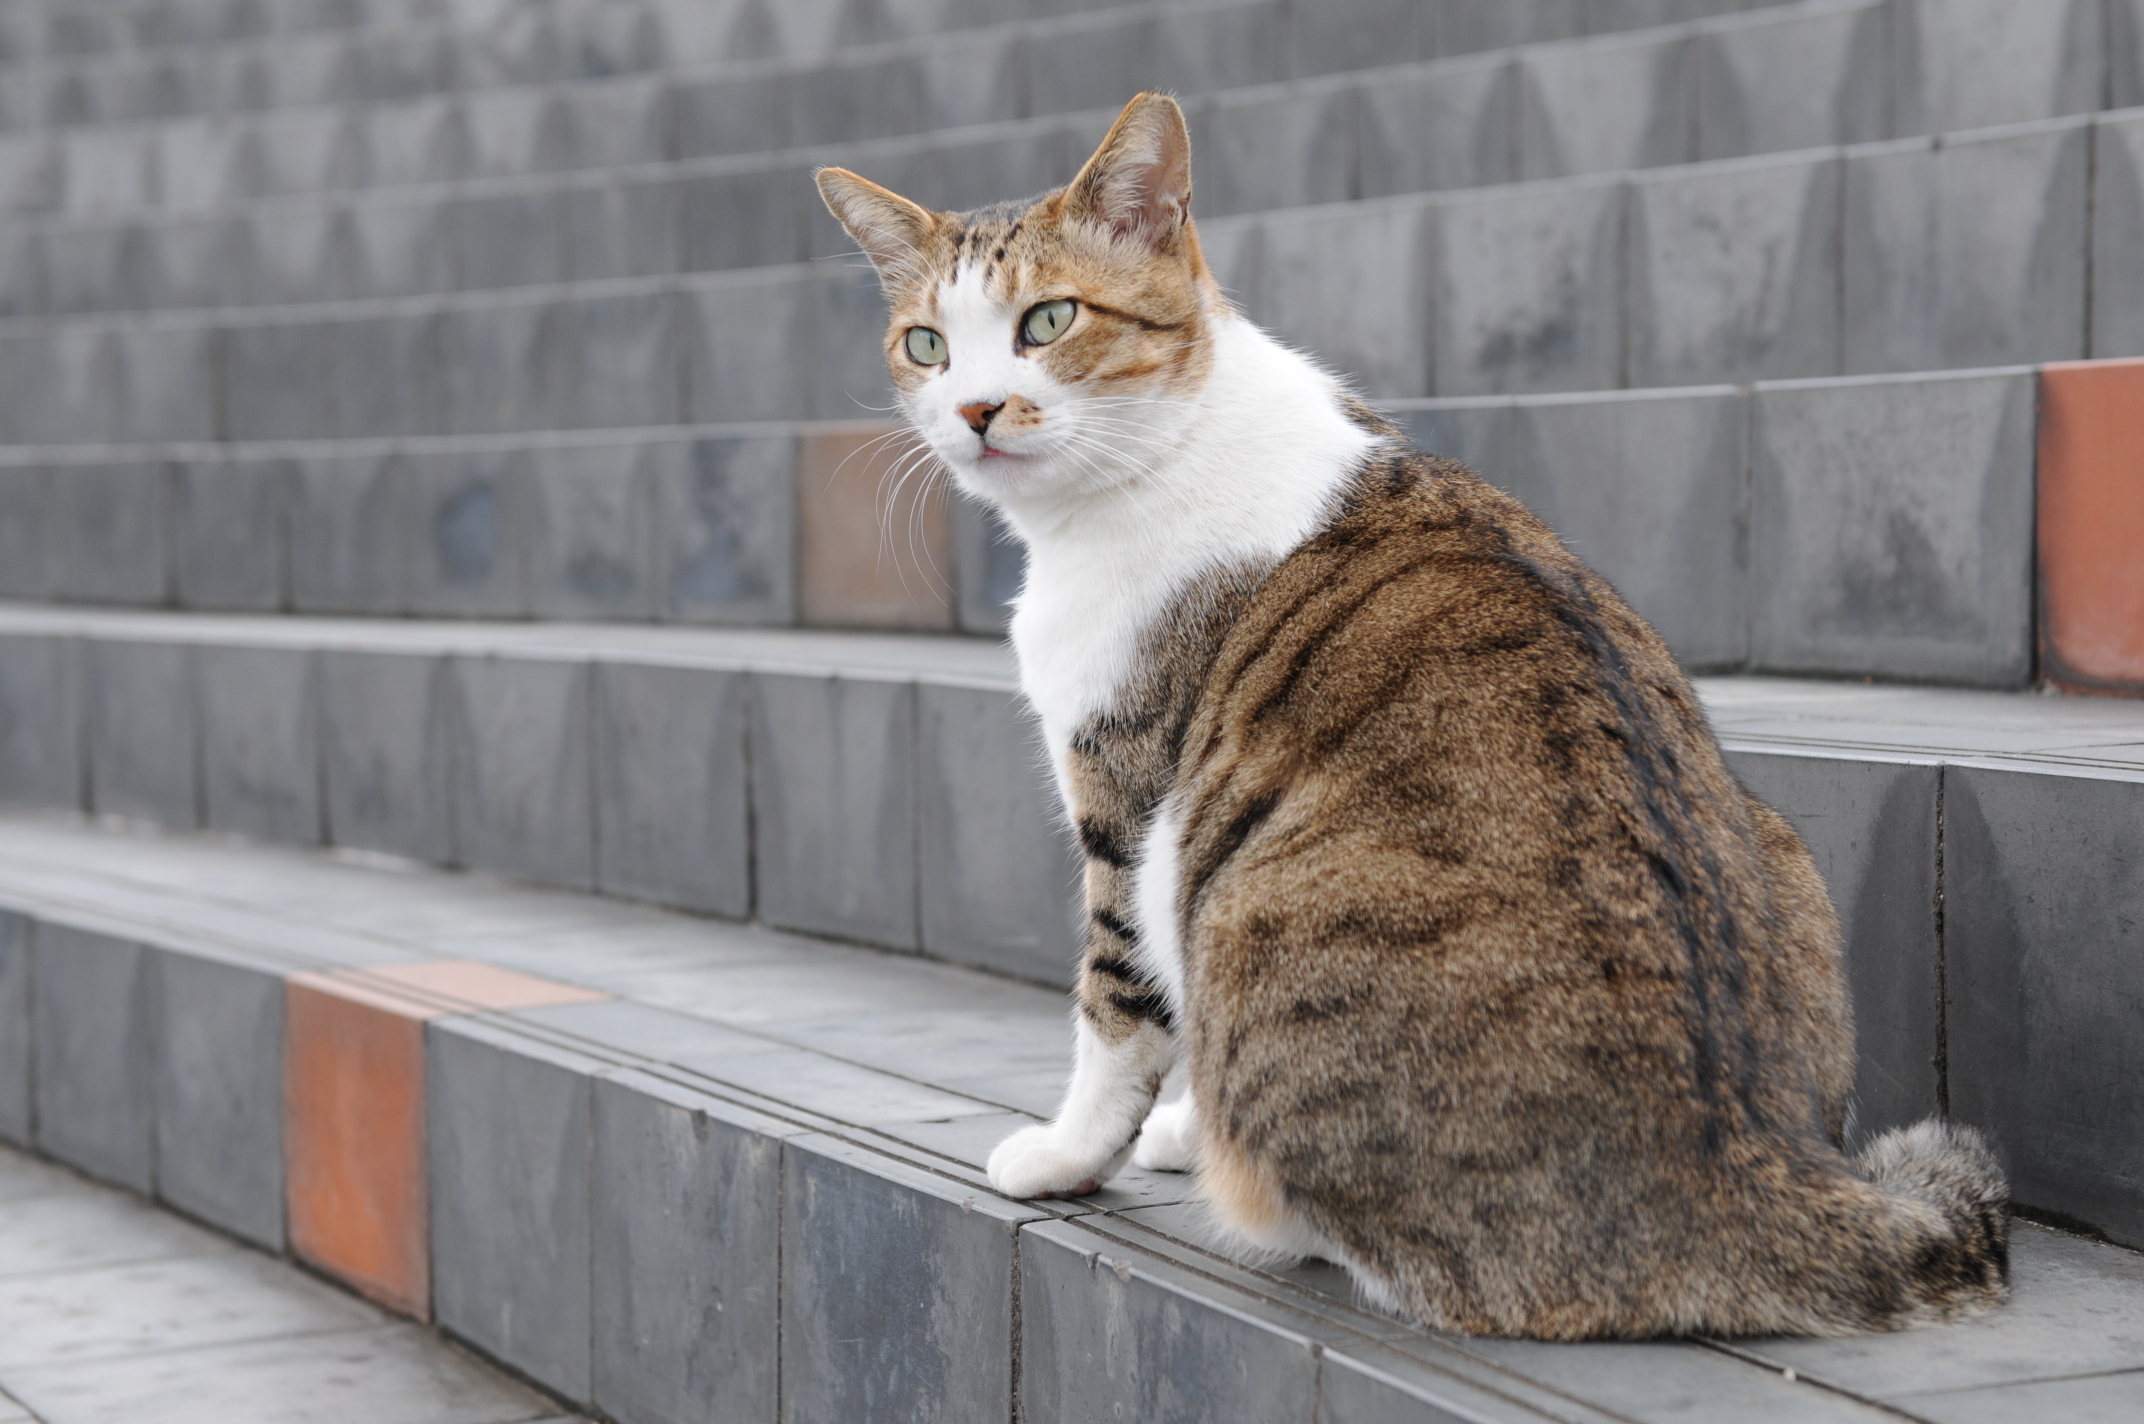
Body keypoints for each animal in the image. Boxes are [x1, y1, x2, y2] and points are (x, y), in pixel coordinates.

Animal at [814, 91, 2006, 1346]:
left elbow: (1114, 1003)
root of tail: (1746, 1171)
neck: (1169, 436)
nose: (975, 409)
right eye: (926, 345)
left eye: (1046, 319)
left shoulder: (1128, 797)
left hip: (1234, 896)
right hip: (1774, 836)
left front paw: (1066, 1154)